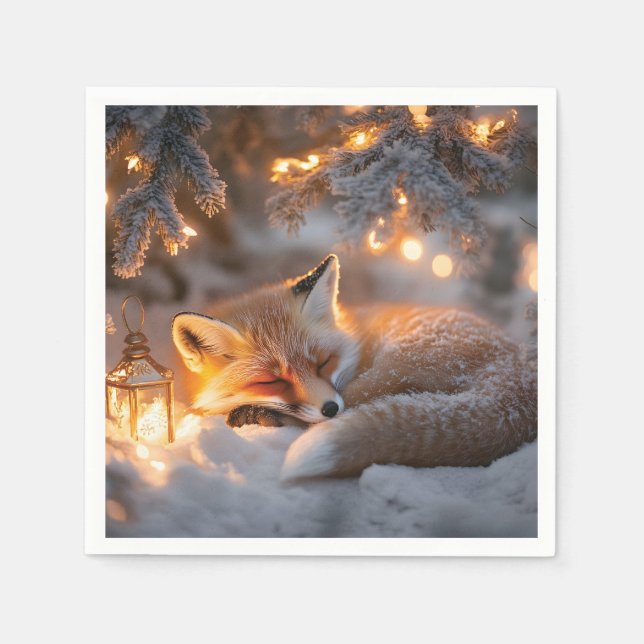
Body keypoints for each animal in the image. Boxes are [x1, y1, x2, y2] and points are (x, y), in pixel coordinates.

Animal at [172, 254, 537, 481]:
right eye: (270, 381)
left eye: (322, 362)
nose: (330, 408)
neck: (354, 330)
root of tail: (520, 372)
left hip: (389, 370)